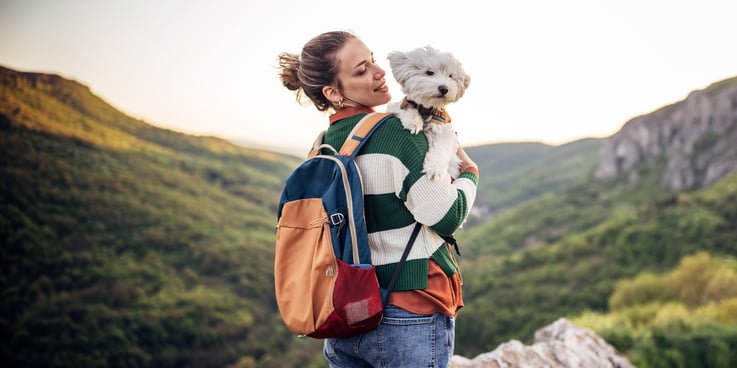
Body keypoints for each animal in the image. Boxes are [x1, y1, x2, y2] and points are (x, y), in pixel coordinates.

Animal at [386, 46, 472, 181]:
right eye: (430, 72)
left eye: (451, 76)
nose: (444, 88)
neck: (426, 109)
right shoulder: (399, 105)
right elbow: (408, 107)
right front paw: (414, 122)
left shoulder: (445, 131)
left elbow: (441, 149)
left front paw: (435, 169)